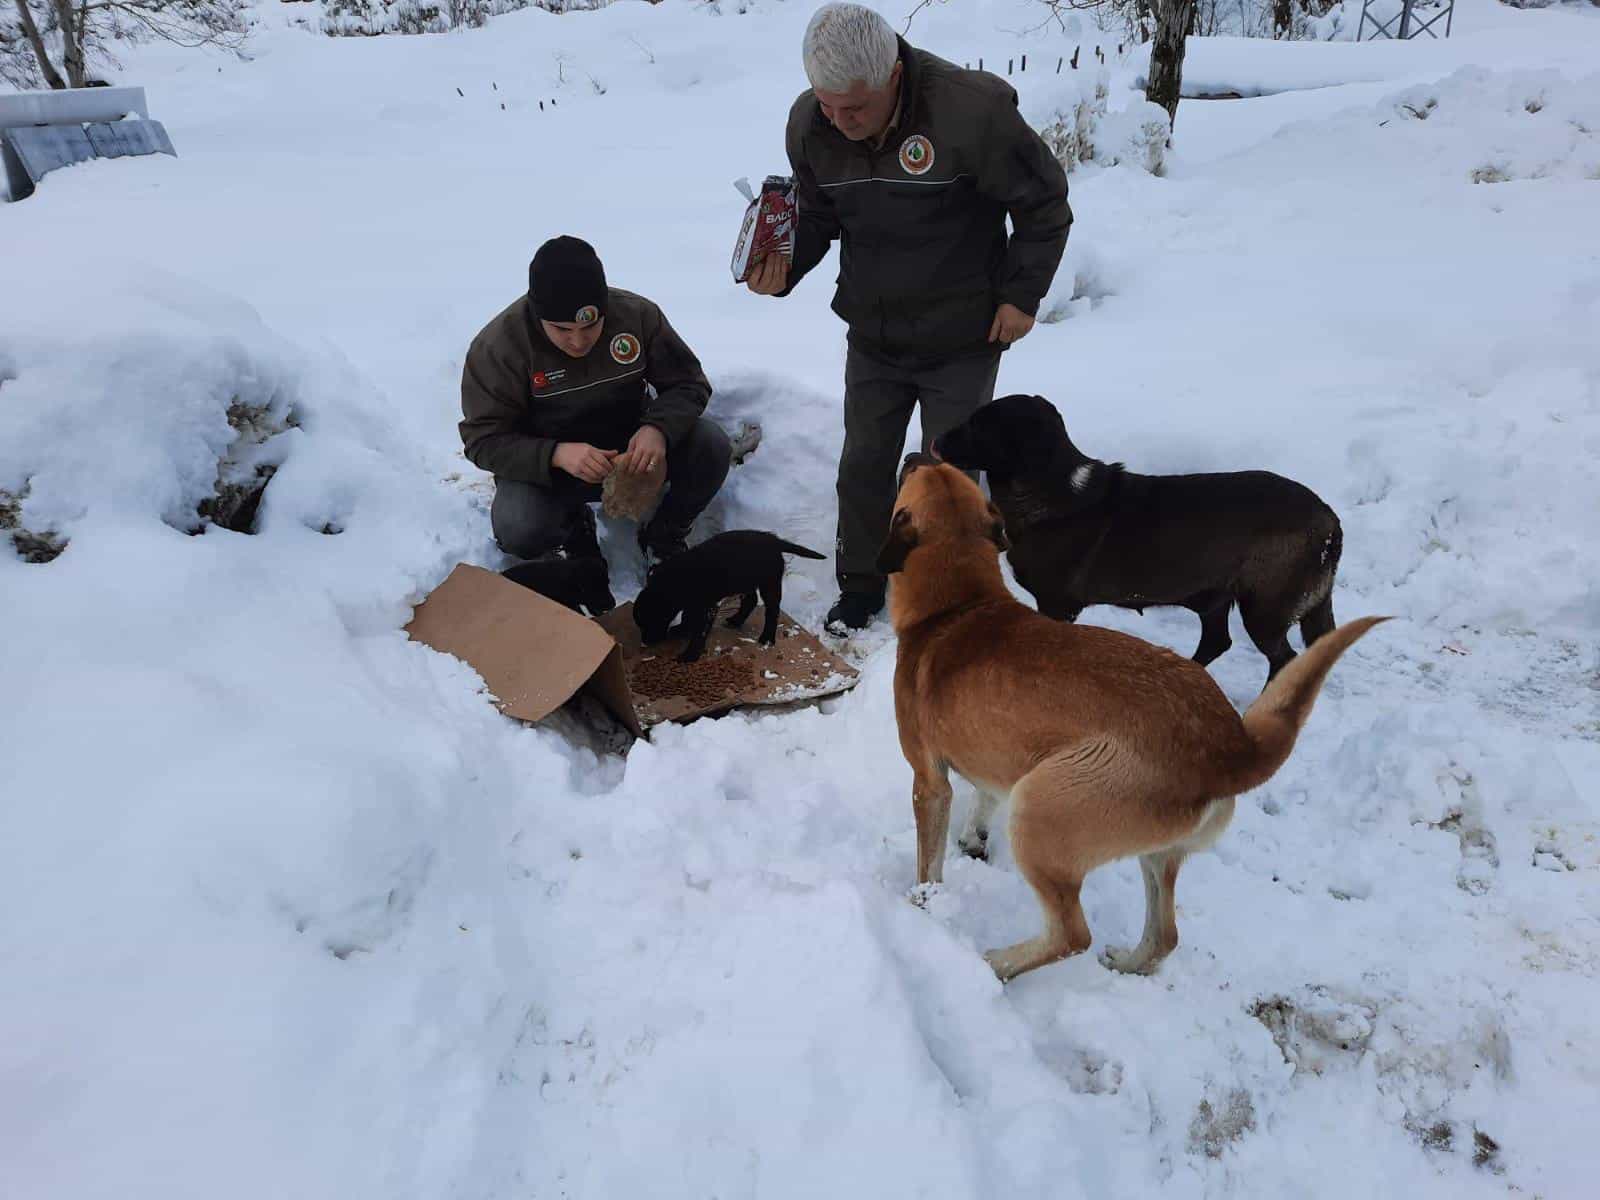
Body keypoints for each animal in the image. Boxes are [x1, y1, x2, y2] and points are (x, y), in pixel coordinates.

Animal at [630, 534, 825, 668]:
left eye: (651, 622)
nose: (646, 642)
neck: (672, 583)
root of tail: (773, 539)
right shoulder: (693, 604)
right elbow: (688, 616)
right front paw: (682, 629)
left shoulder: (706, 606)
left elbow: (699, 631)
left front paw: (690, 654)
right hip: (744, 581)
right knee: (751, 601)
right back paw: (736, 620)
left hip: (769, 583)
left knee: (772, 610)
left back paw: (767, 638)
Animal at [876, 454, 1388, 979]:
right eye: (941, 468)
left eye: (913, 475)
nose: (918, 454)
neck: (961, 604)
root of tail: (1232, 748)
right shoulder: (997, 756)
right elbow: (983, 798)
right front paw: (973, 838)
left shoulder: (930, 781)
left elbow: (929, 861)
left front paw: (923, 903)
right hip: (1154, 850)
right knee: (1165, 935)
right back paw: (1129, 963)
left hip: (1040, 811)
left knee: (1071, 935)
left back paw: (994, 963)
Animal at [934, 390, 1344, 681]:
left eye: (979, 426)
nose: (936, 440)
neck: (1050, 487)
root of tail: (1329, 519)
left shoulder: (1057, 605)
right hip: (1216, 595)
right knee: (1218, 641)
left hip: (1265, 606)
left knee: (1283, 659)